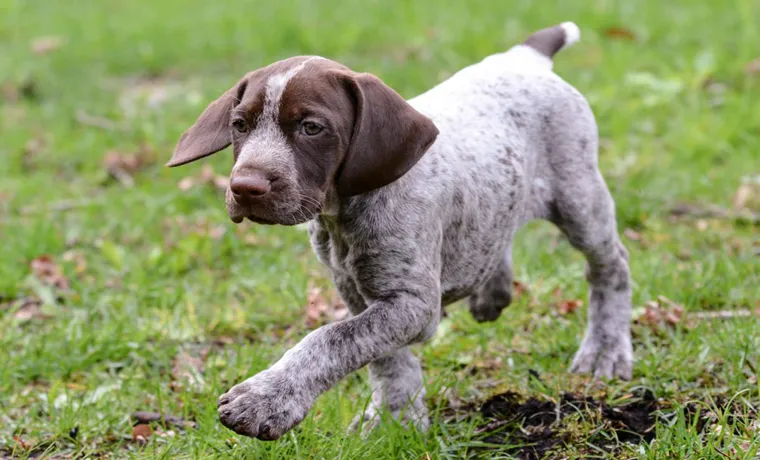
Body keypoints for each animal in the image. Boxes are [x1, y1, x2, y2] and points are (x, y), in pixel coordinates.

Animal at [168, 22, 636, 442]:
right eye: (240, 125)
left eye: (311, 128)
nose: (245, 187)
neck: (343, 212)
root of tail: (524, 57)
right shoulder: (358, 291)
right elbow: (384, 357)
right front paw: (396, 417)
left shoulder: (411, 302)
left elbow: (330, 340)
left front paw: (265, 399)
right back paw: (491, 293)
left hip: (580, 199)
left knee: (610, 266)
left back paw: (606, 351)